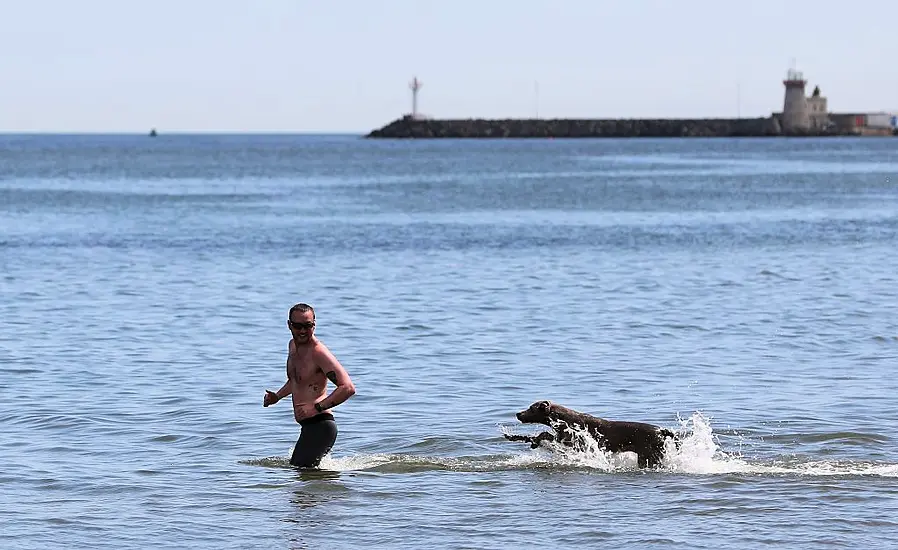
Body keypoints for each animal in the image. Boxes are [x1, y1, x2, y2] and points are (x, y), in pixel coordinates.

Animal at [508, 402, 676, 470]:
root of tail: (662, 430)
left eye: (531, 408)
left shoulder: (571, 442)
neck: (563, 418)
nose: (517, 414)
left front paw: (534, 440)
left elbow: (544, 434)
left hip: (648, 456)